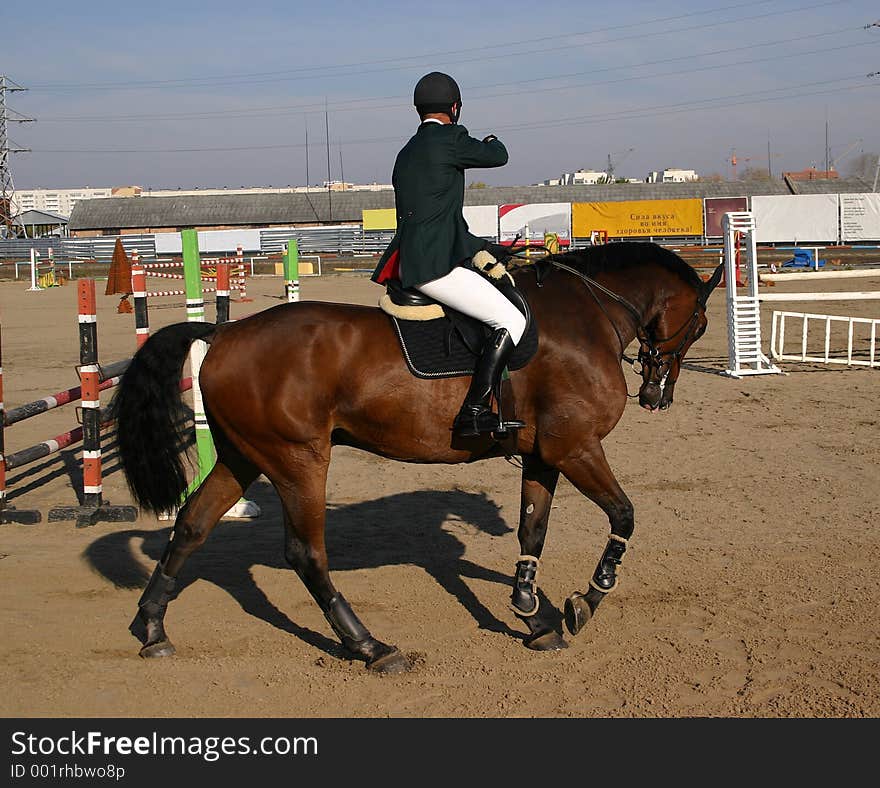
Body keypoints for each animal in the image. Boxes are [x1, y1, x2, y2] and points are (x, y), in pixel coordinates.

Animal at [111, 243, 720, 676]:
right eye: (702, 324)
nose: (657, 396)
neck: (588, 313)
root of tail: (225, 330)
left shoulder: (545, 454)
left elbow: (533, 531)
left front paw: (532, 612)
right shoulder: (577, 448)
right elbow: (624, 517)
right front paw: (584, 601)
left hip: (244, 456)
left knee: (192, 526)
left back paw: (152, 628)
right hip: (298, 461)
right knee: (307, 554)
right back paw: (370, 647)